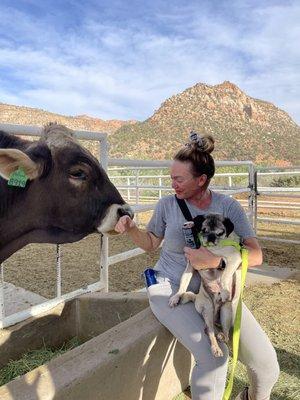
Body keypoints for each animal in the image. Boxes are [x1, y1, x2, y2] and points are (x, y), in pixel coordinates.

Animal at [170, 214, 243, 358]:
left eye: (220, 233)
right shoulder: (191, 265)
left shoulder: (234, 259)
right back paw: (215, 348)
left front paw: (225, 291)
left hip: (226, 313)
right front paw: (176, 296)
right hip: (208, 310)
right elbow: (183, 282)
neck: (212, 249)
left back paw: (221, 337)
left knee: (225, 334)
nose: (211, 237)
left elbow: (225, 275)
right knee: (210, 332)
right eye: (204, 230)